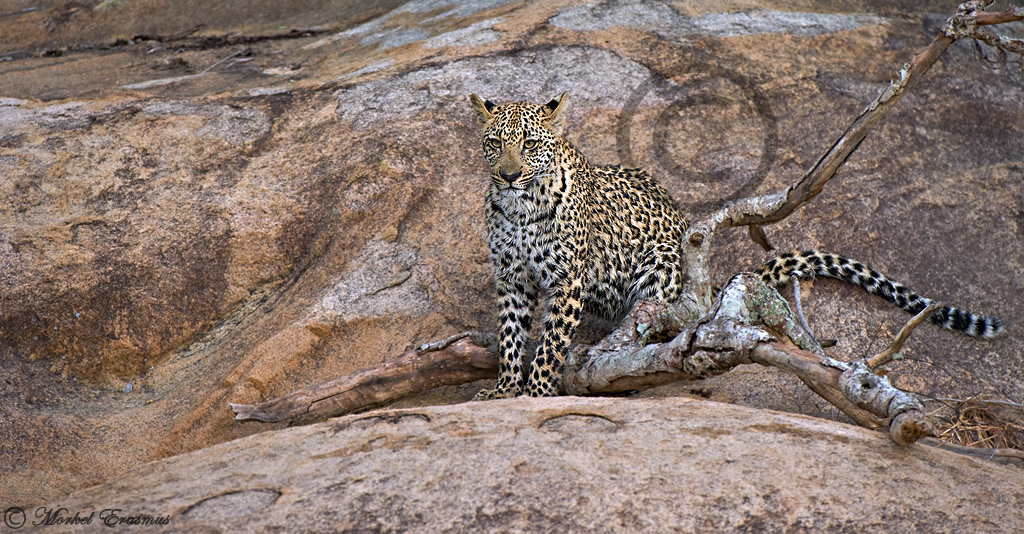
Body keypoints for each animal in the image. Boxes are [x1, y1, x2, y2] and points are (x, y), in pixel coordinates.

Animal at [468, 92, 1003, 400]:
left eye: (531, 144)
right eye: (495, 143)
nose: (508, 174)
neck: (518, 207)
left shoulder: (568, 280)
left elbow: (548, 344)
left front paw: (536, 393)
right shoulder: (512, 278)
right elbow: (511, 337)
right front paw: (501, 392)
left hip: (662, 269)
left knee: (656, 329)